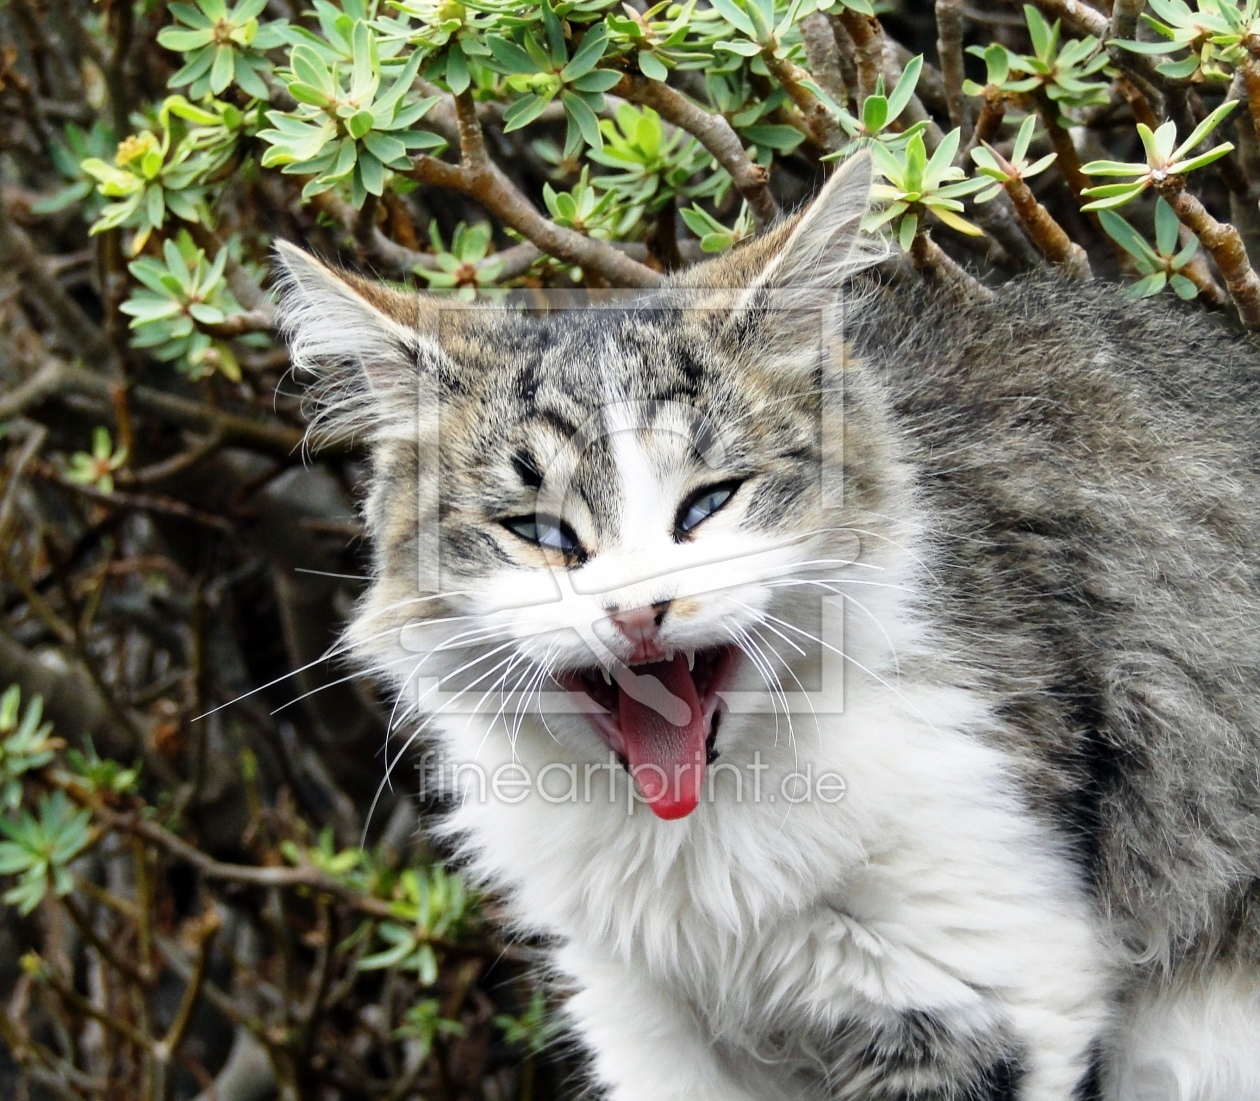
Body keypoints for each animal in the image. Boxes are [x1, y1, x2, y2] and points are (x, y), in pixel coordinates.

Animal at [273, 152, 1260, 1098]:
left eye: (709, 503)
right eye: (543, 534)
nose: (638, 610)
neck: (696, 852)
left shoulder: (993, 980)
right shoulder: (648, 1025)